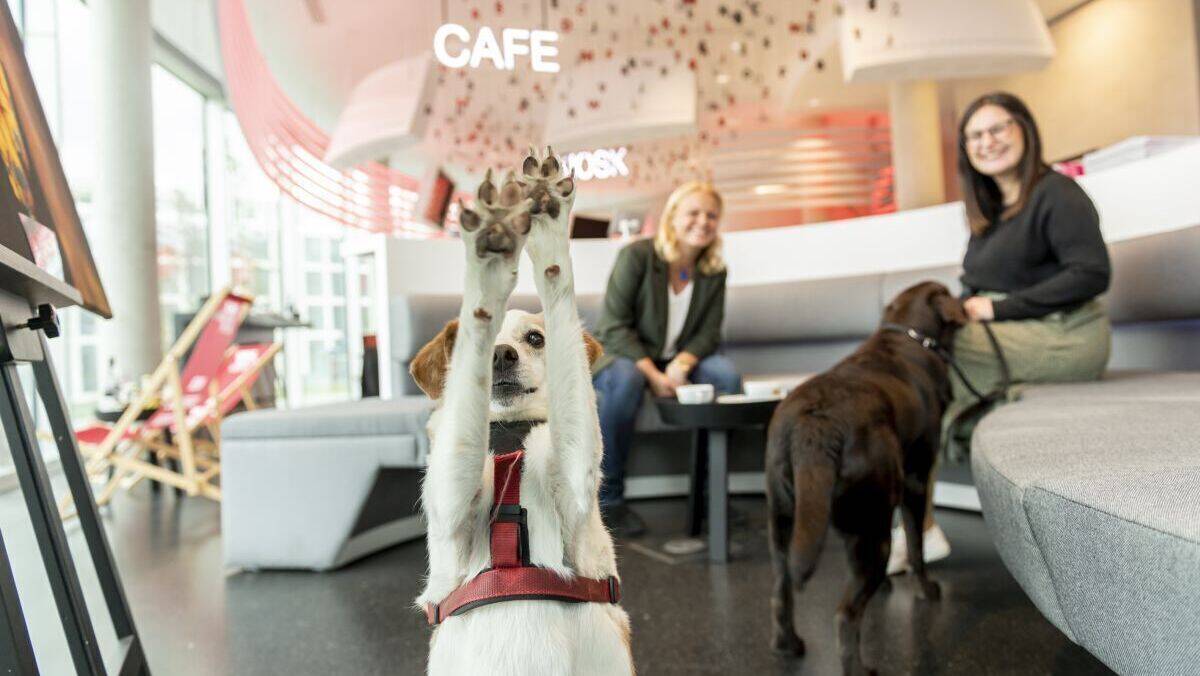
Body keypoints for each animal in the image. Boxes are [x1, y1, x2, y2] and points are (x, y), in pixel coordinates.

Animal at [415, 149, 638, 676]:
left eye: (535, 338)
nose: (501, 355)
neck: (507, 441)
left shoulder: (575, 476)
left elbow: (560, 286)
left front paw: (548, 227)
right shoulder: (450, 505)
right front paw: (487, 271)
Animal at [768, 280, 964, 672]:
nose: (968, 298)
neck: (907, 334)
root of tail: (817, 423)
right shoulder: (915, 481)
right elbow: (917, 547)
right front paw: (927, 589)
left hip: (784, 522)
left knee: (782, 592)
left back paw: (788, 645)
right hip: (872, 527)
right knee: (845, 615)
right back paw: (860, 668)